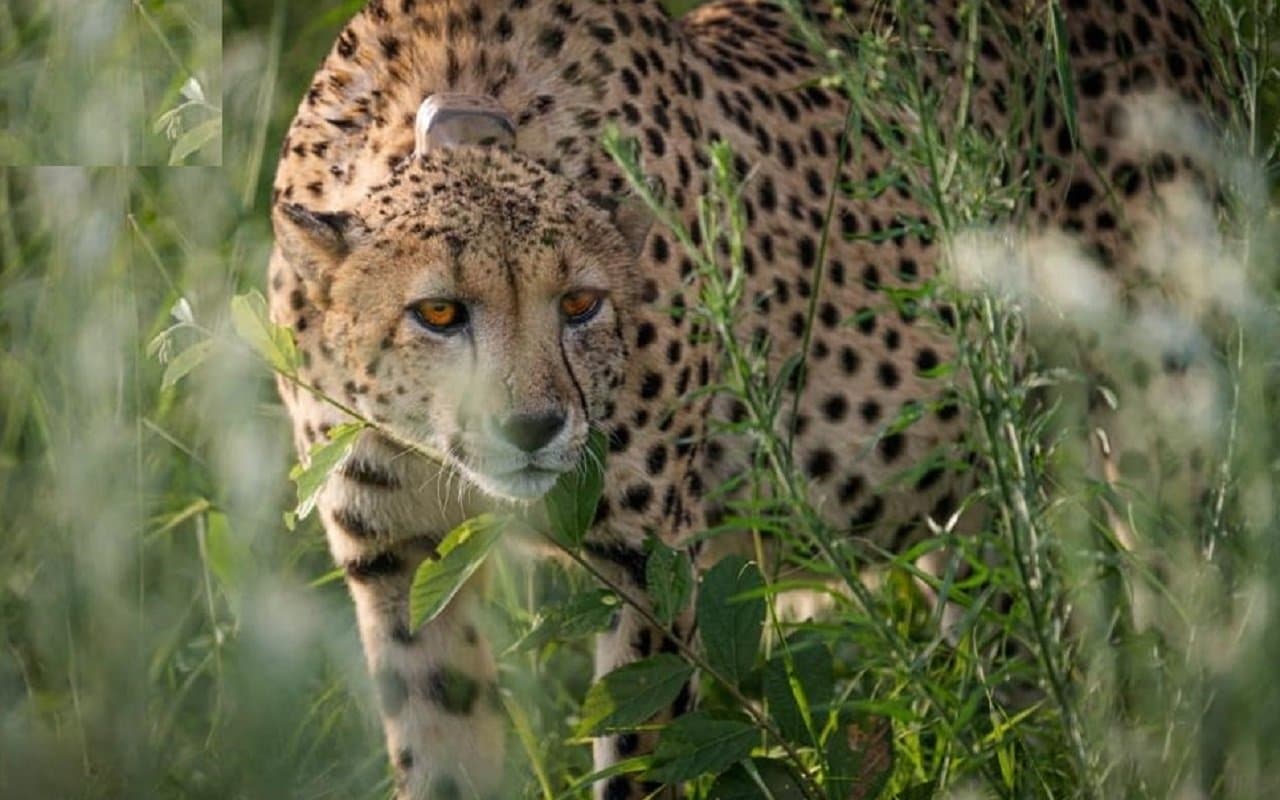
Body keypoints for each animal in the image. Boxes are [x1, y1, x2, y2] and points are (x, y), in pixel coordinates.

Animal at [268, 0, 1233, 798]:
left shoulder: (651, 564)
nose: (533, 429)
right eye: (438, 312)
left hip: (1161, 421)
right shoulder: (395, 565)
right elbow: (438, 755)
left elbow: (640, 757)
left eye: (581, 304)